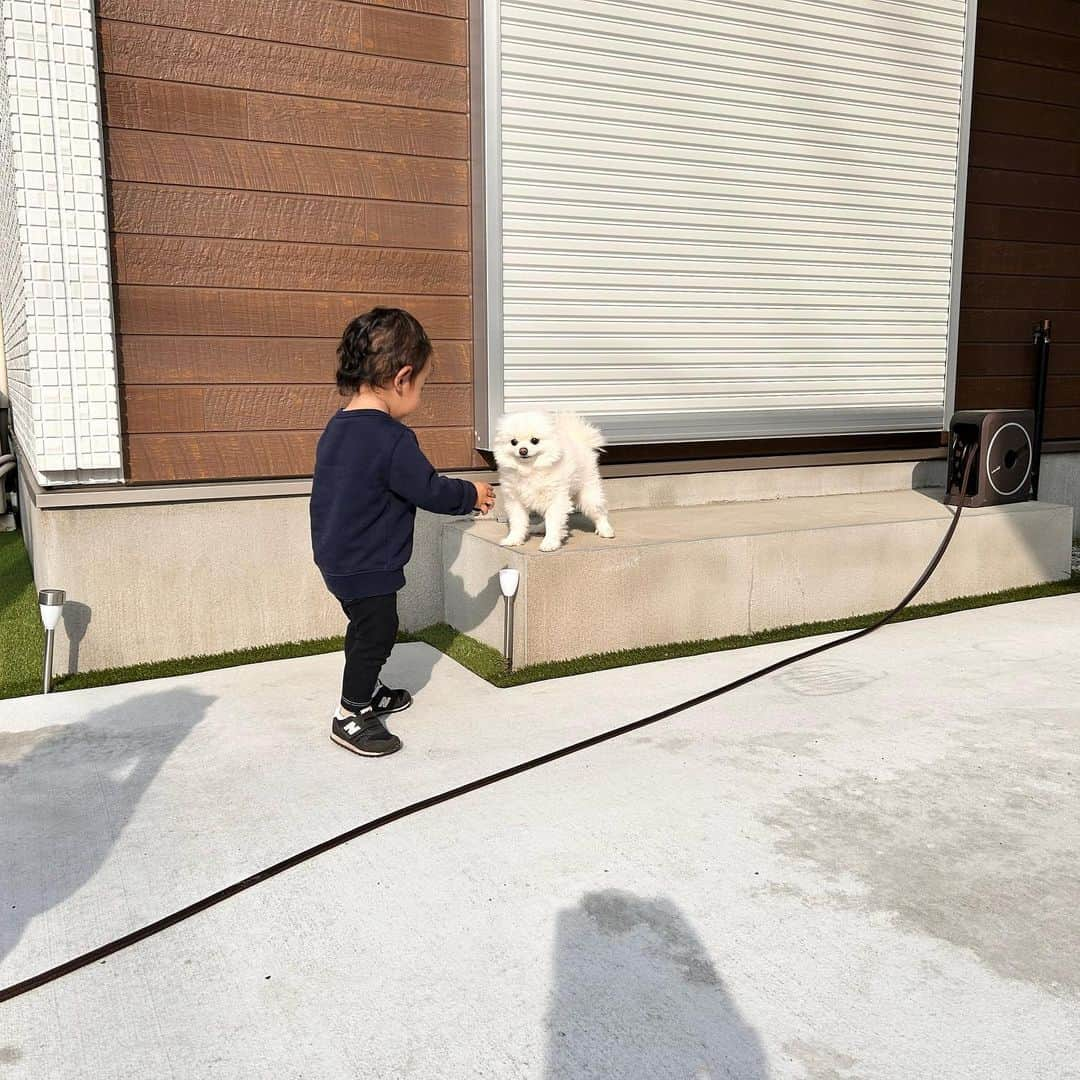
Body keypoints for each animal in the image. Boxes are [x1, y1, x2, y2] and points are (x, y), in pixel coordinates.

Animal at [492, 408, 613, 552]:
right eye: (513, 442)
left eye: (534, 440)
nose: (523, 450)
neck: (530, 469)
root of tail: (581, 441)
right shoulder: (515, 501)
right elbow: (518, 522)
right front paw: (514, 539)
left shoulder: (556, 499)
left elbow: (553, 522)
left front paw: (550, 542)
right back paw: (539, 528)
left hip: (588, 495)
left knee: (599, 512)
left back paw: (605, 530)